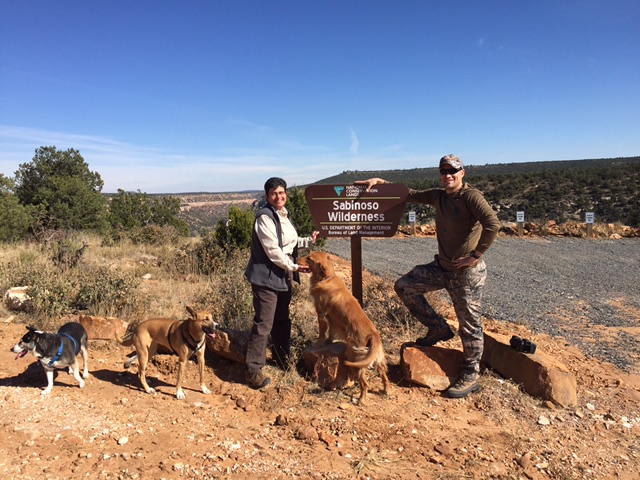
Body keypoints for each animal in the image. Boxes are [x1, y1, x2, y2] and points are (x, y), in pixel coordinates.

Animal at [296, 251, 390, 404]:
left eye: (309, 258)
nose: (296, 258)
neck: (326, 278)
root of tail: (373, 335)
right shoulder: (331, 320)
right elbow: (331, 334)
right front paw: (329, 341)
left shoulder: (321, 314)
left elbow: (322, 332)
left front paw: (318, 343)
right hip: (377, 360)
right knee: (384, 376)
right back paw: (386, 391)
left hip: (355, 358)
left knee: (365, 383)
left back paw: (361, 400)